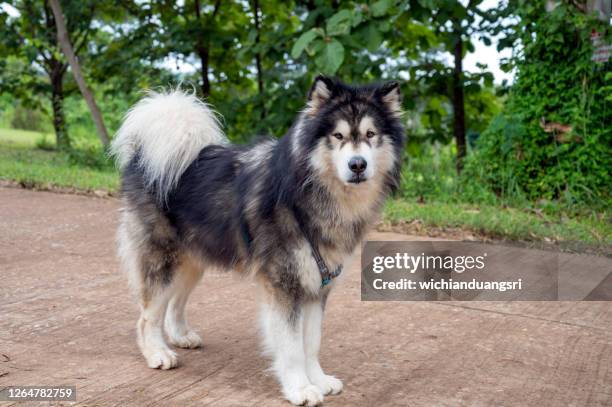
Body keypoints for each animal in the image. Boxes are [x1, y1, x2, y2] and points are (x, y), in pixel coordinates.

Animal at [112, 75, 404, 404]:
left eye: (370, 134)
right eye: (338, 135)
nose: (358, 165)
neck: (307, 190)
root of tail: (143, 157)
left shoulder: (316, 286)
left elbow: (311, 343)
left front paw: (318, 379)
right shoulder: (285, 285)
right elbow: (292, 347)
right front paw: (300, 388)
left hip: (193, 260)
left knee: (174, 301)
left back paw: (180, 335)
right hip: (164, 259)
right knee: (147, 315)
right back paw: (157, 353)